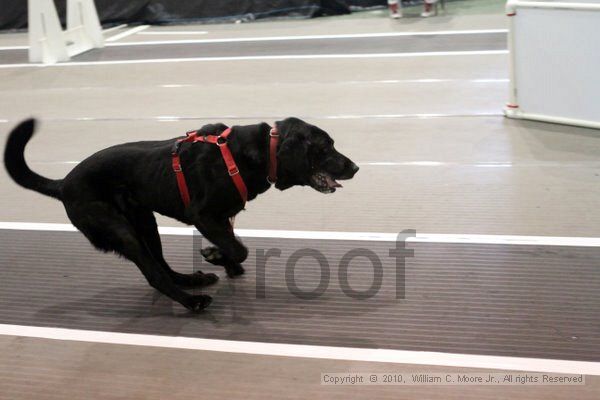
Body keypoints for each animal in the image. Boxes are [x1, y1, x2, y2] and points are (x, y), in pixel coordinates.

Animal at [4, 119, 358, 312]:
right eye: (326, 147)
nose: (355, 167)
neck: (254, 154)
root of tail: (63, 183)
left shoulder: (221, 219)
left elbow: (234, 246)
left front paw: (224, 263)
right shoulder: (203, 215)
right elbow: (239, 248)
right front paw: (217, 256)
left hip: (145, 222)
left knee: (161, 264)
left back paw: (192, 280)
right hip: (121, 229)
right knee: (153, 274)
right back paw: (192, 302)